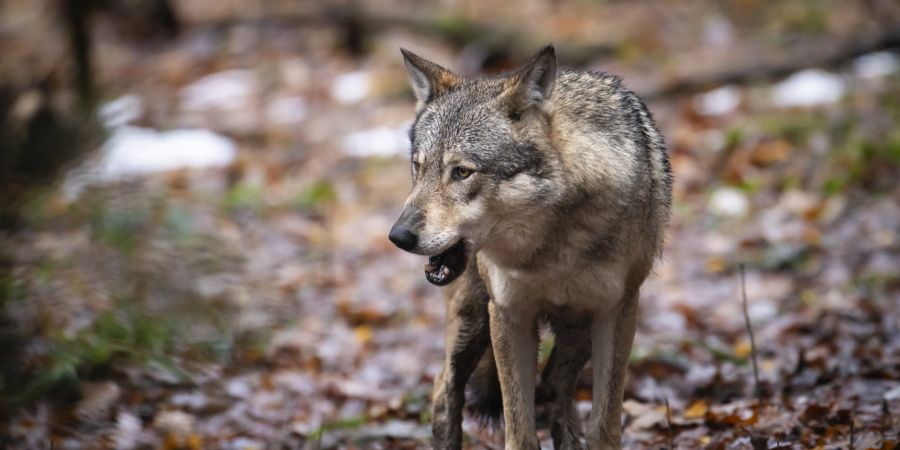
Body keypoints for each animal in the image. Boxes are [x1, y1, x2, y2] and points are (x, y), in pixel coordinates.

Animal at [389, 45, 672, 450]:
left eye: (462, 172)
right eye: (418, 167)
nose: (398, 236)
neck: (552, 248)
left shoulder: (617, 310)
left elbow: (604, 426)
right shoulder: (509, 314)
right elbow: (520, 432)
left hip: (576, 331)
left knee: (553, 385)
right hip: (472, 319)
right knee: (445, 392)